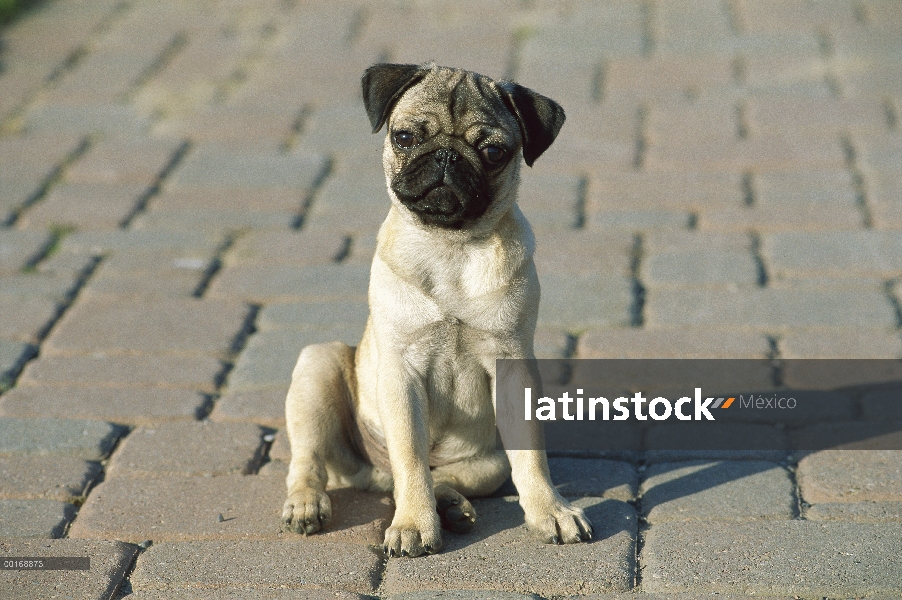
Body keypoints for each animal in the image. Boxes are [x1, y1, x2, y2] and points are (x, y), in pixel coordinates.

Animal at [282, 62, 592, 556]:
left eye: (493, 151)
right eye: (405, 137)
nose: (447, 156)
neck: (452, 247)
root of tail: (374, 476)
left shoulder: (513, 367)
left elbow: (531, 458)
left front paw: (551, 512)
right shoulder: (402, 372)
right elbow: (410, 458)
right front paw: (413, 524)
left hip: (488, 465)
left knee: (444, 477)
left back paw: (452, 506)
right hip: (319, 364)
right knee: (313, 462)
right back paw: (307, 505)